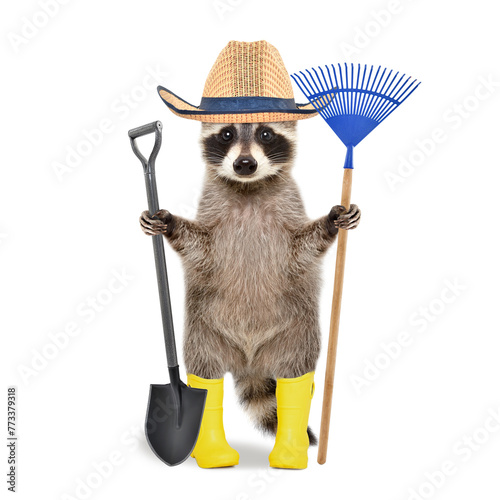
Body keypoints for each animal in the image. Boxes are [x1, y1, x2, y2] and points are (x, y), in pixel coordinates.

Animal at [140, 121, 360, 442]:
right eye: (226, 134)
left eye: (265, 134)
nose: (244, 164)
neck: (248, 188)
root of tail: (250, 362)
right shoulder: (212, 217)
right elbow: (198, 246)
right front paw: (169, 222)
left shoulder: (288, 212)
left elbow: (303, 247)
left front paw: (330, 222)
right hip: (203, 332)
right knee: (204, 373)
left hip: (297, 334)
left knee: (296, 373)